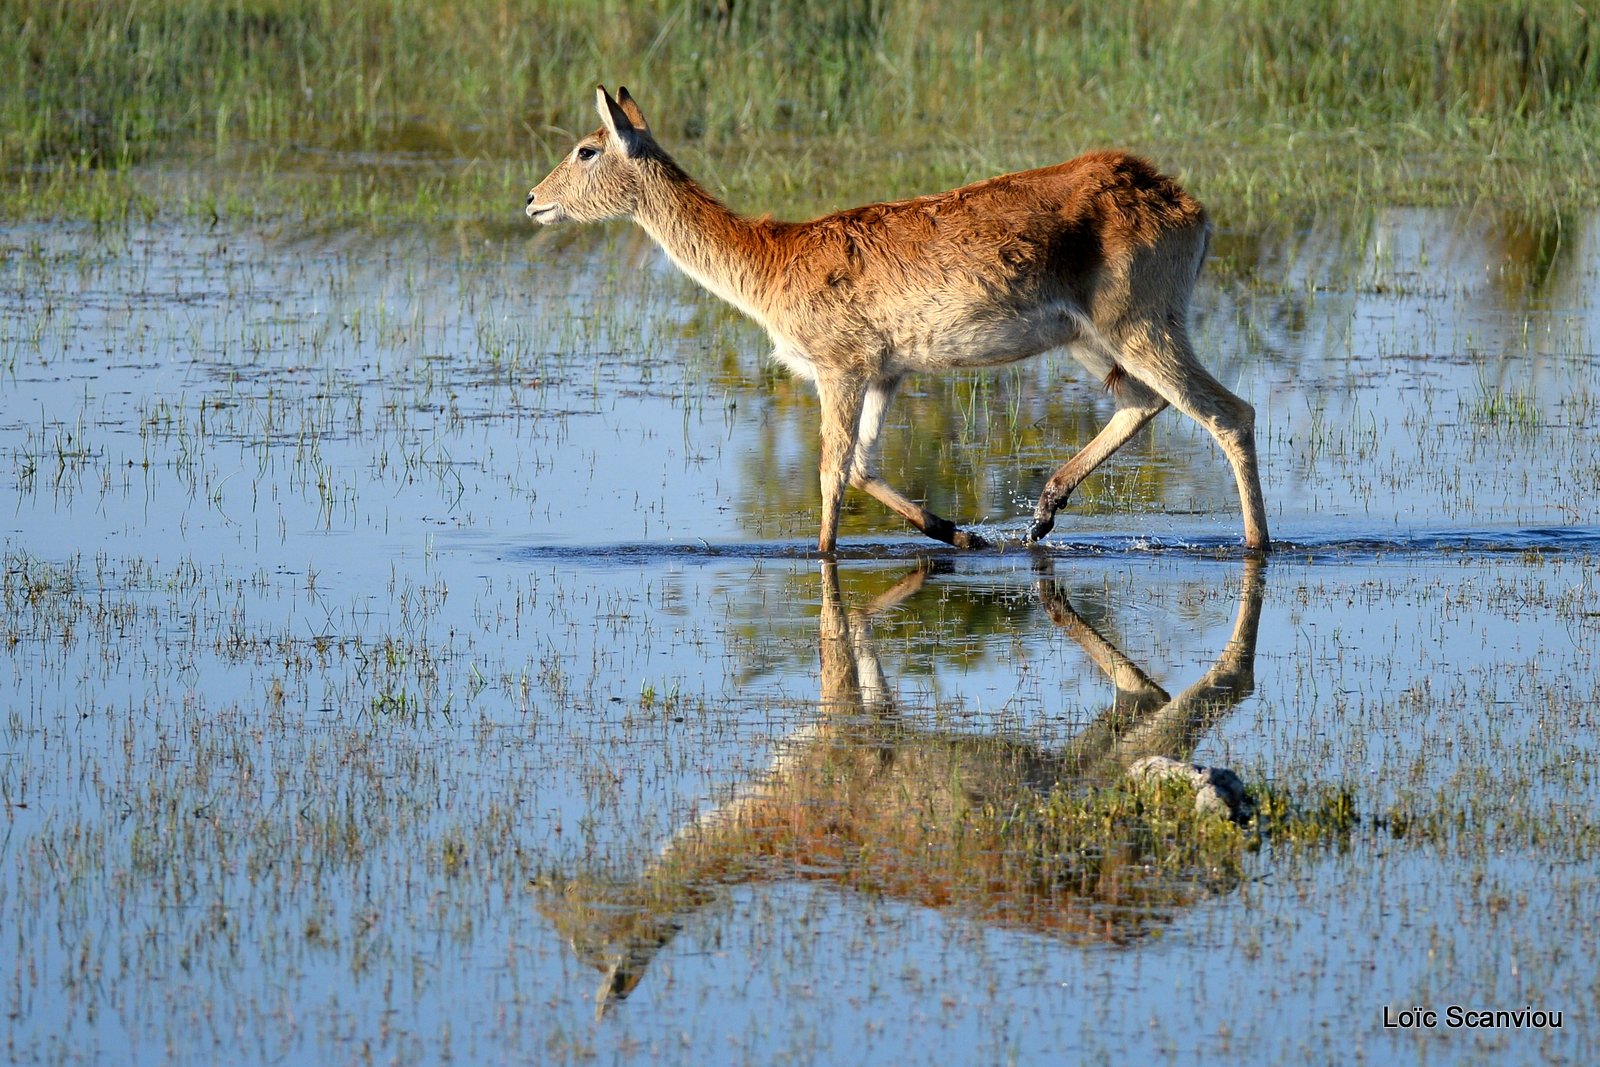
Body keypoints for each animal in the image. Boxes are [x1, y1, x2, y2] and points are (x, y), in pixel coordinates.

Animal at [531, 87, 1267, 556]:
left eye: (587, 149)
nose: (534, 199)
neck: (771, 259)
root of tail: (1188, 203)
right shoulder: (886, 374)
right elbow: (861, 467)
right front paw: (965, 533)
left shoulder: (839, 369)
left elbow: (830, 475)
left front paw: (823, 556)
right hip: (1089, 340)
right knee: (1146, 403)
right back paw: (1039, 515)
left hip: (1141, 324)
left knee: (1231, 413)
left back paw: (1256, 545)